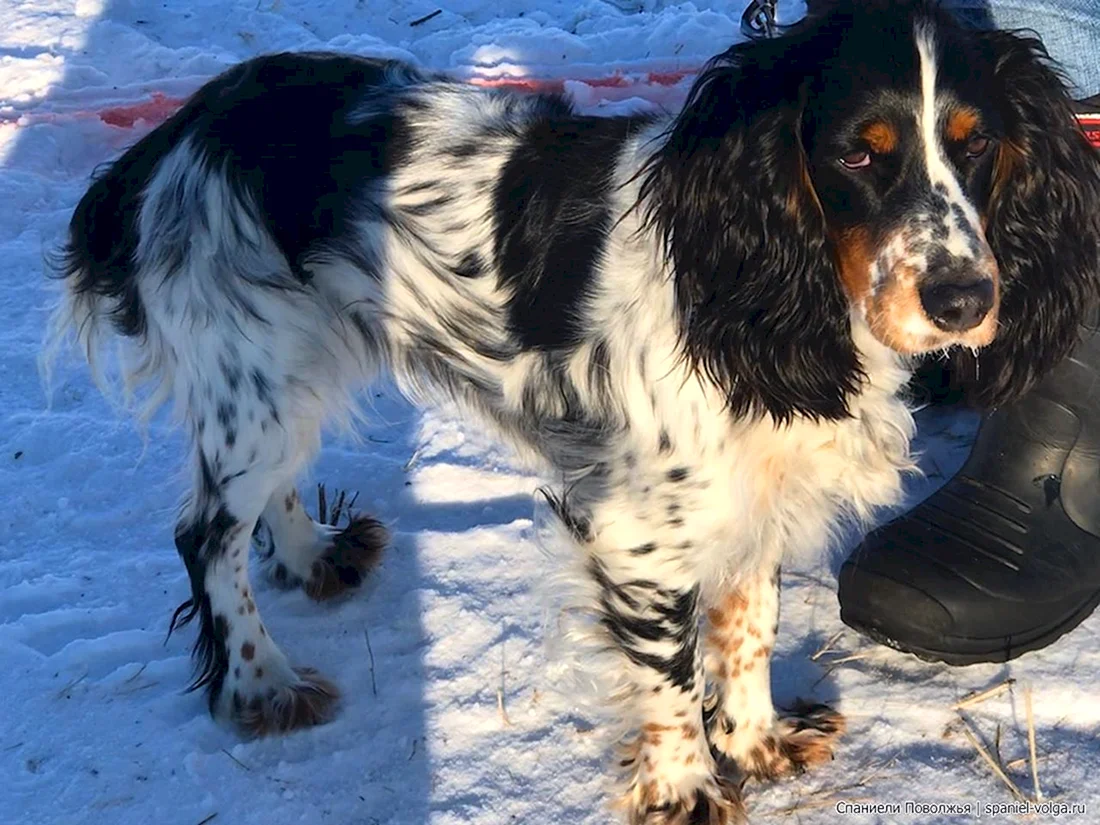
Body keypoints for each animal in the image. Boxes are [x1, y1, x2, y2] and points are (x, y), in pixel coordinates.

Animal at [45, 0, 1100, 822]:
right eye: (858, 155)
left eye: (978, 144)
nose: (964, 299)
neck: (750, 270)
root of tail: (177, 134)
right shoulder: (641, 533)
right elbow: (671, 672)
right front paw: (687, 791)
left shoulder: (752, 491)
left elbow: (748, 624)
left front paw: (759, 742)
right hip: (252, 371)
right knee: (206, 535)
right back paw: (261, 683)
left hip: (289, 370)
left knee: (269, 494)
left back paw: (314, 560)